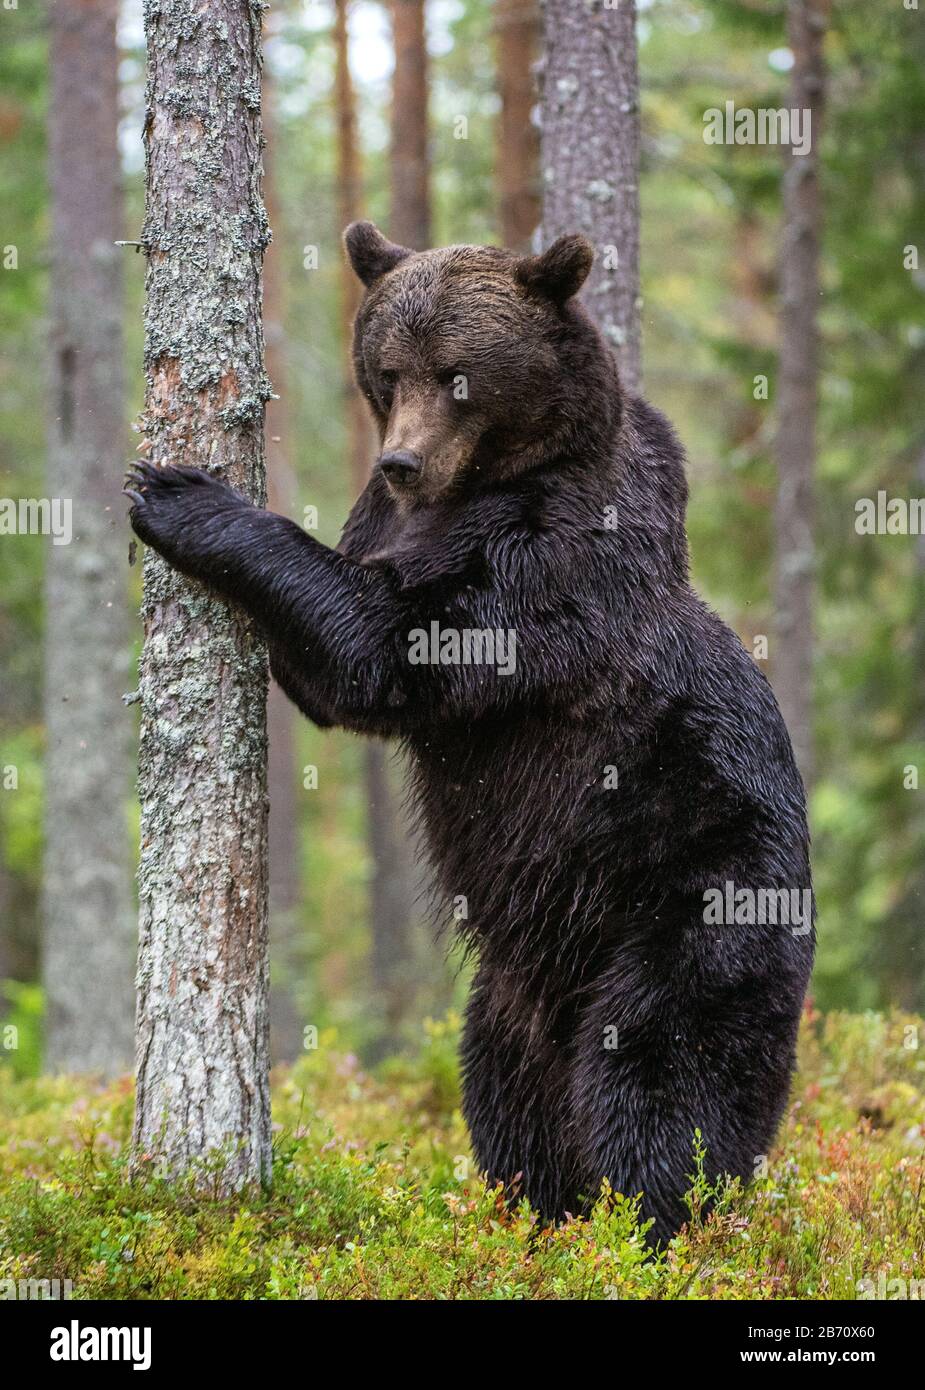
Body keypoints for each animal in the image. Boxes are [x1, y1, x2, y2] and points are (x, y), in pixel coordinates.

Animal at [126, 222, 812, 1245]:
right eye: (387, 370)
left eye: (458, 375)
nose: (398, 464)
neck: (481, 488)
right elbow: (336, 670)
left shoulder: (553, 565)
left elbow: (390, 646)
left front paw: (180, 494)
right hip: (514, 989)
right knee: (506, 1091)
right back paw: (538, 1215)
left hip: (701, 905)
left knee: (659, 1081)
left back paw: (649, 1226)